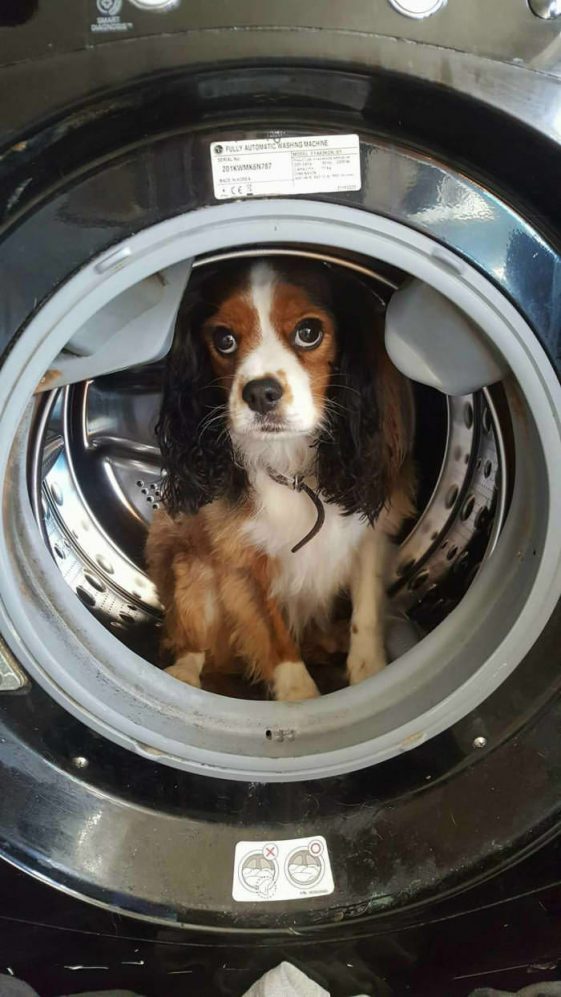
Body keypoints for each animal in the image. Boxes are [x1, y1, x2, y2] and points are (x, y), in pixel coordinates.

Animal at [147, 255, 414, 700]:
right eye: (224, 340)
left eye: (308, 332)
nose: (259, 393)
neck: (290, 464)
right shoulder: (239, 559)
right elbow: (274, 635)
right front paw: (299, 698)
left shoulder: (371, 536)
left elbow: (367, 613)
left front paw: (368, 674)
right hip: (189, 563)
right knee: (192, 639)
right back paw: (184, 674)